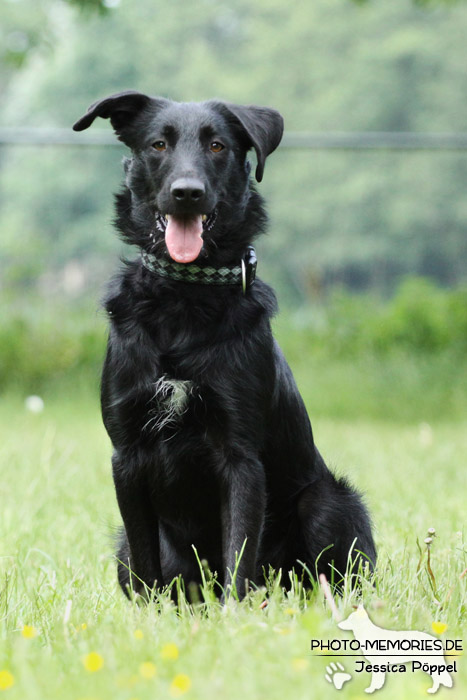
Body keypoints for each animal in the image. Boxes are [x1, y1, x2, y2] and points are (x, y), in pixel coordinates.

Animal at [73, 90, 376, 600]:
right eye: (157, 144)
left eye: (217, 146)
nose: (187, 193)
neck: (183, 298)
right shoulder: (127, 456)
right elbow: (147, 567)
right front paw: (149, 615)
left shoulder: (240, 457)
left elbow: (239, 554)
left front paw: (236, 615)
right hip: (124, 545)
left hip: (328, 502)